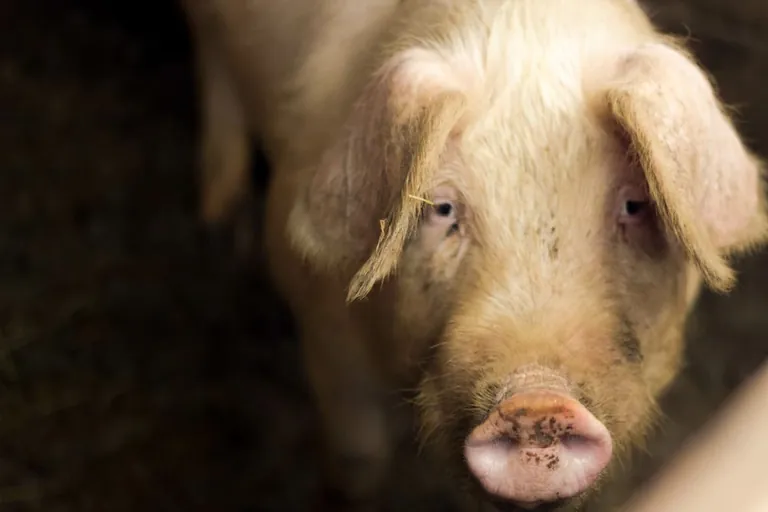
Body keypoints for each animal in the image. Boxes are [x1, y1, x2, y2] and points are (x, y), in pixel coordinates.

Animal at [179, 0, 768, 510]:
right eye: (441, 208)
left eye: (635, 204)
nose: (536, 402)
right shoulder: (311, 300)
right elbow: (357, 452)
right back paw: (217, 209)